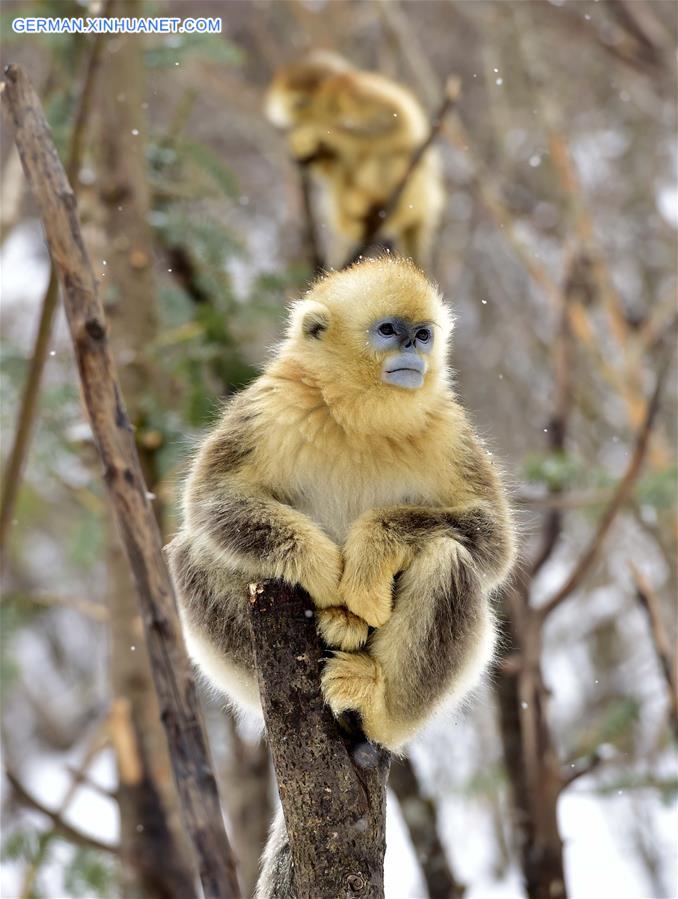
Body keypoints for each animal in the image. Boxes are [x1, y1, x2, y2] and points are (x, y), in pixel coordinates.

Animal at [266, 51, 446, 268]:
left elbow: (391, 119)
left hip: (414, 189)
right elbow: (328, 163)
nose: (295, 119)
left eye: (301, 102)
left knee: (386, 154)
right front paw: (304, 146)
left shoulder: (355, 93)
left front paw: (315, 129)